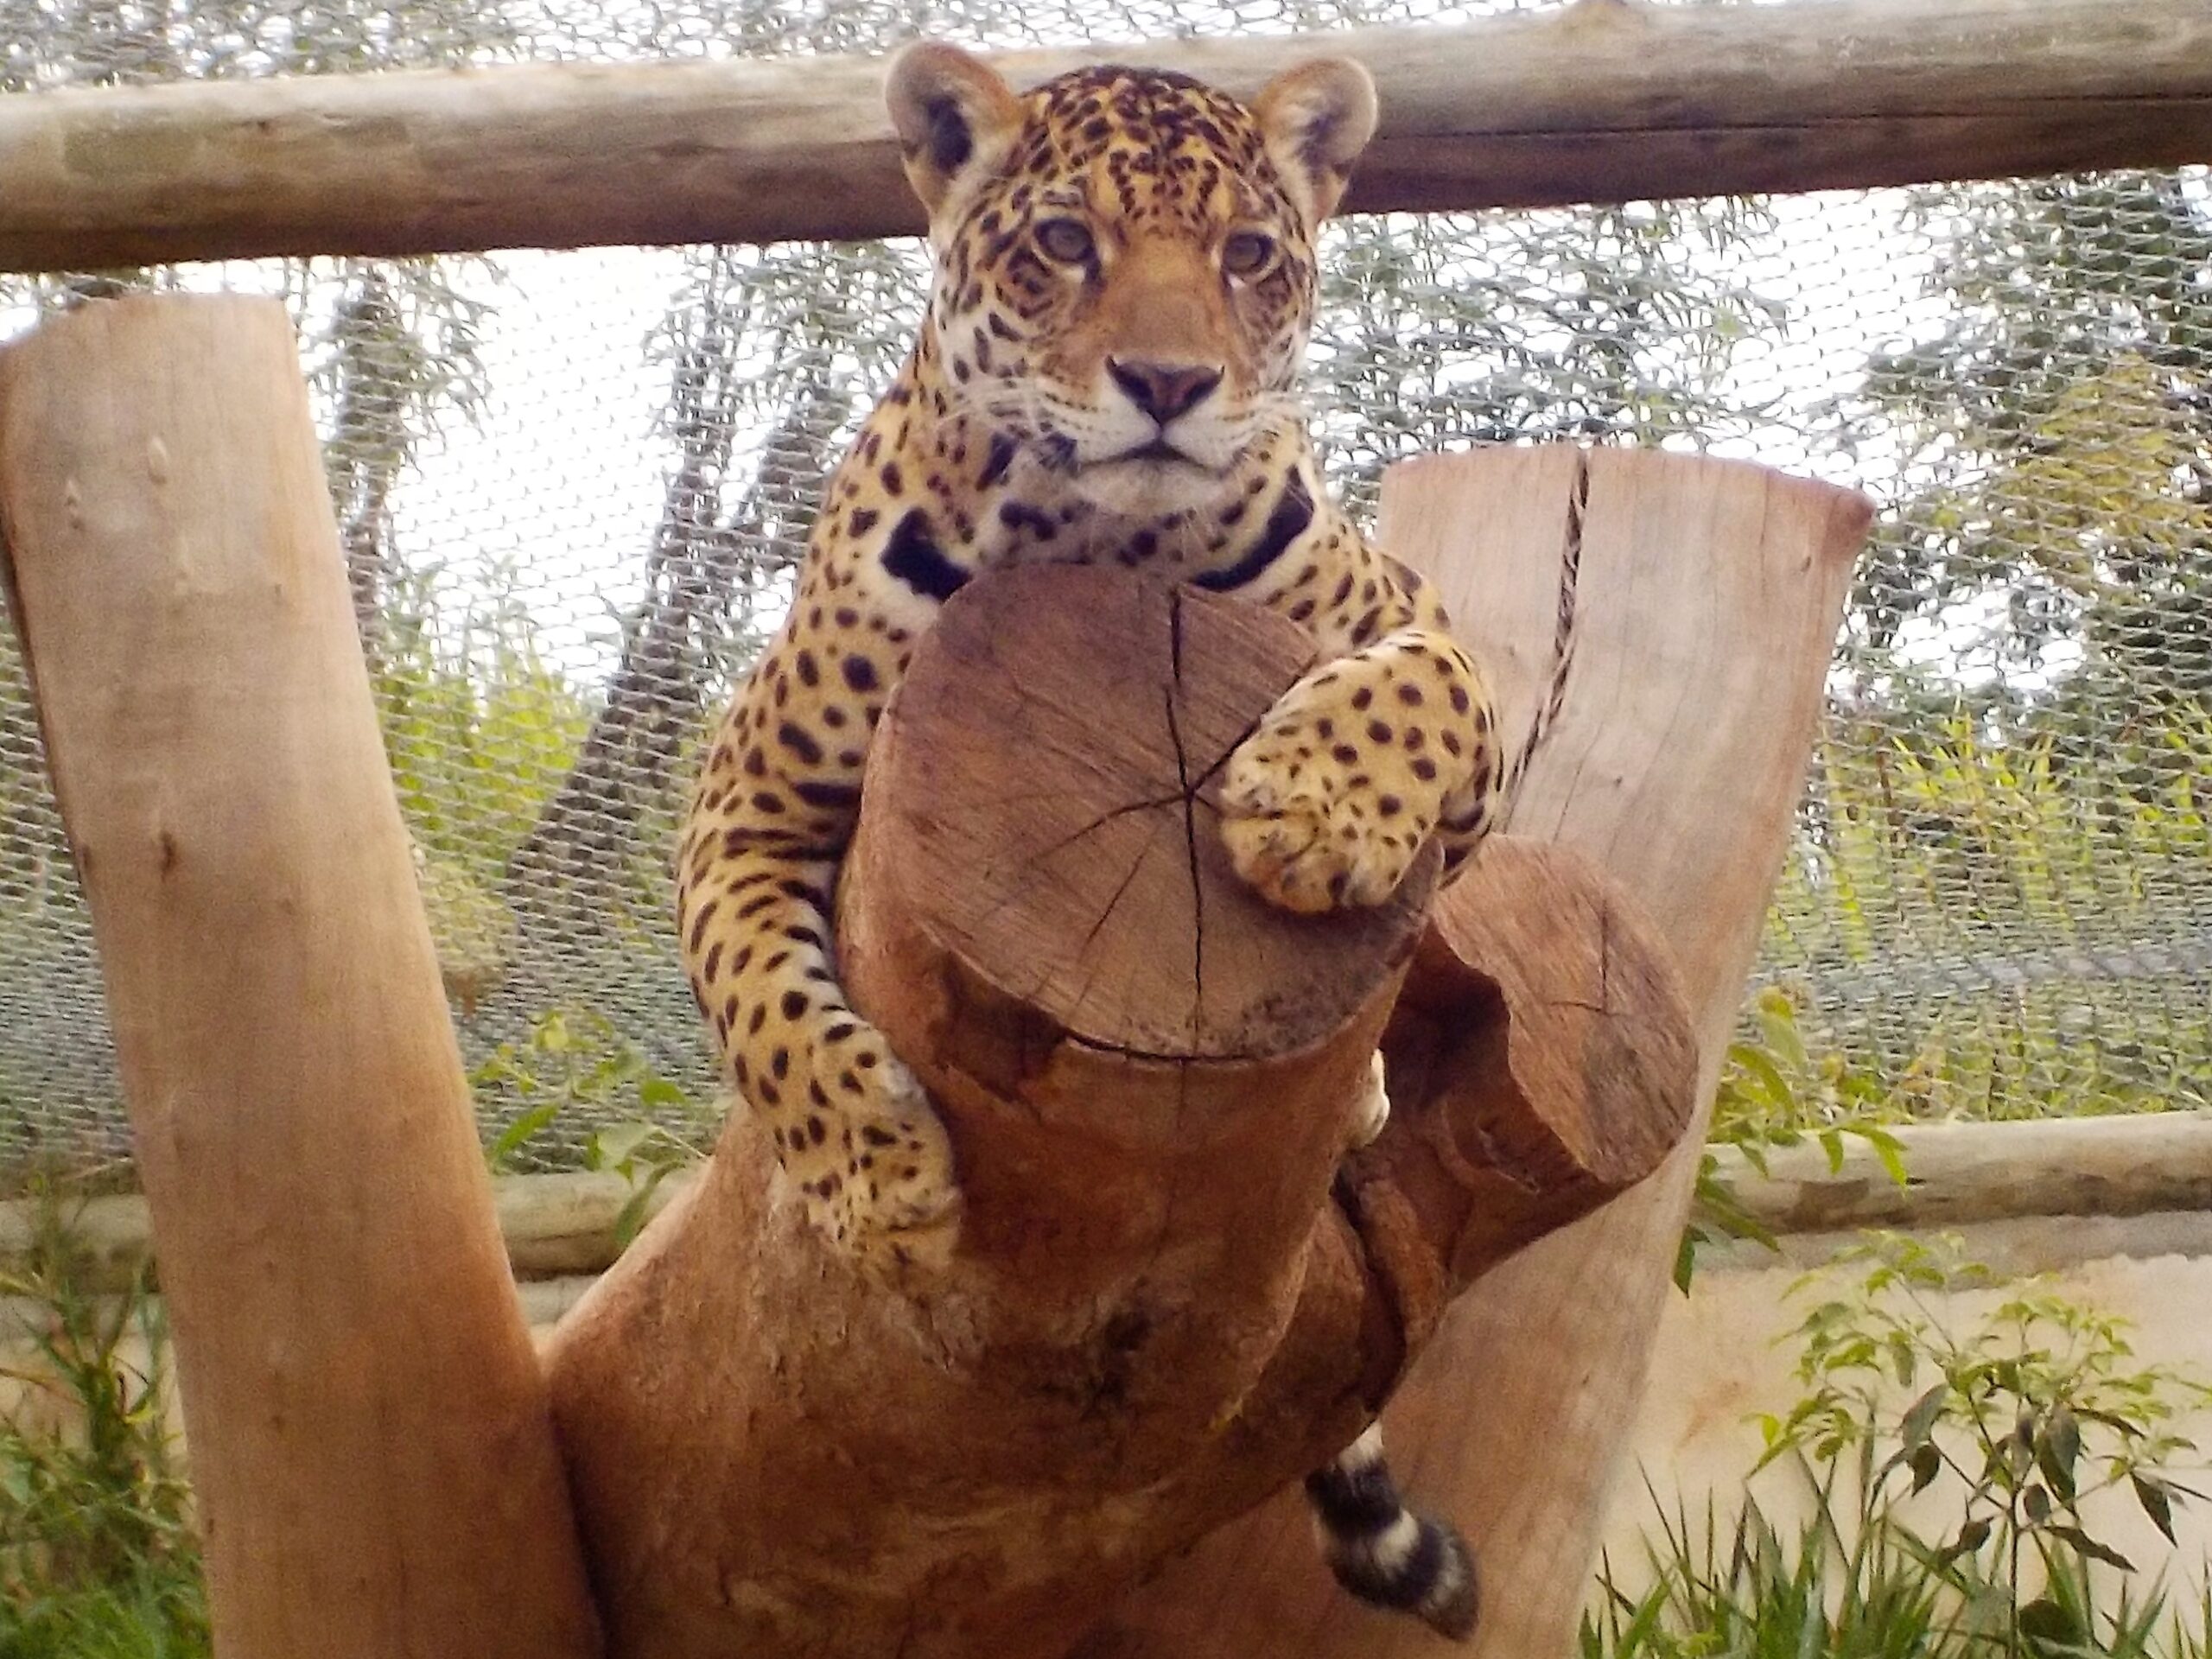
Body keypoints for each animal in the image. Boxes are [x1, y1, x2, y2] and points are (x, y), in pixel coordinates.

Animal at [673, 40, 1577, 1639]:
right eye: (1063, 243)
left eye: (1249, 258)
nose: (1169, 383)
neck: (1097, 545)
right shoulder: (746, 798)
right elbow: (761, 1004)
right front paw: (880, 1186)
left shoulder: (1421, 630)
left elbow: (1435, 684)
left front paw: (1315, 805)